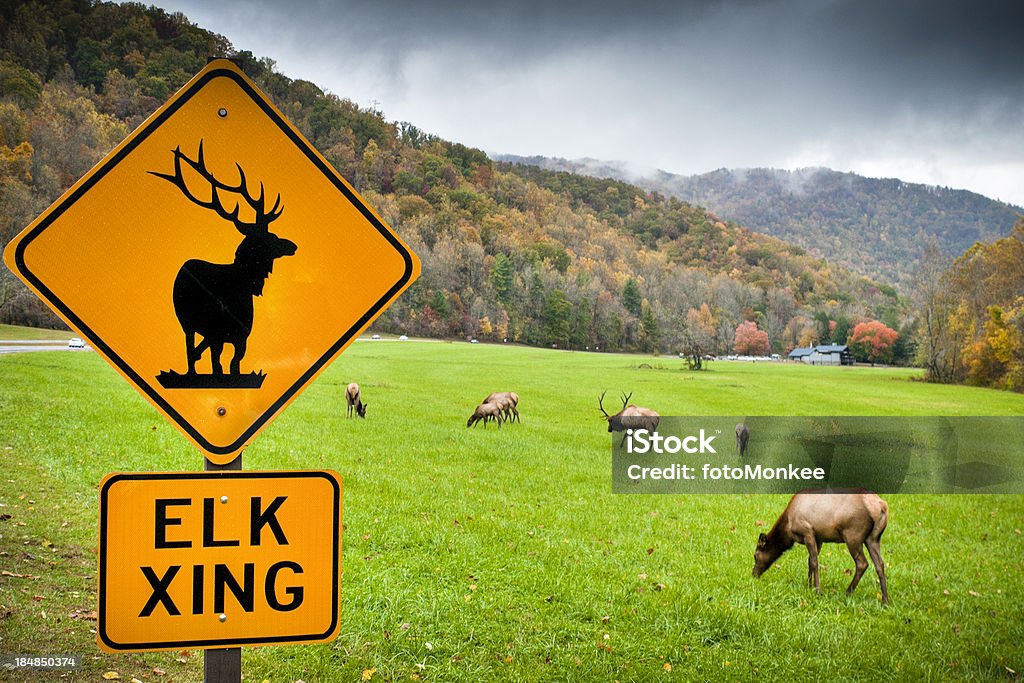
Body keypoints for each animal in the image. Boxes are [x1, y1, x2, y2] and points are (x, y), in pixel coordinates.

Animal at [149, 143, 299, 378]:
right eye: (271, 237)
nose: (293, 246)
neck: (243, 286)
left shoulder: (241, 336)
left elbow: (232, 364)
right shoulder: (217, 333)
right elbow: (218, 362)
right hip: (186, 322)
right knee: (190, 348)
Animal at [753, 489, 888, 606]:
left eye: (755, 556)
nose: (754, 574)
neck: (788, 529)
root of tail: (881, 507)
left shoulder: (807, 532)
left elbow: (814, 562)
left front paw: (818, 590)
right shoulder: (819, 538)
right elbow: (810, 560)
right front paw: (809, 585)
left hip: (853, 535)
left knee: (862, 563)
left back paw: (847, 593)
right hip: (873, 538)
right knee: (880, 564)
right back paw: (885, 601)